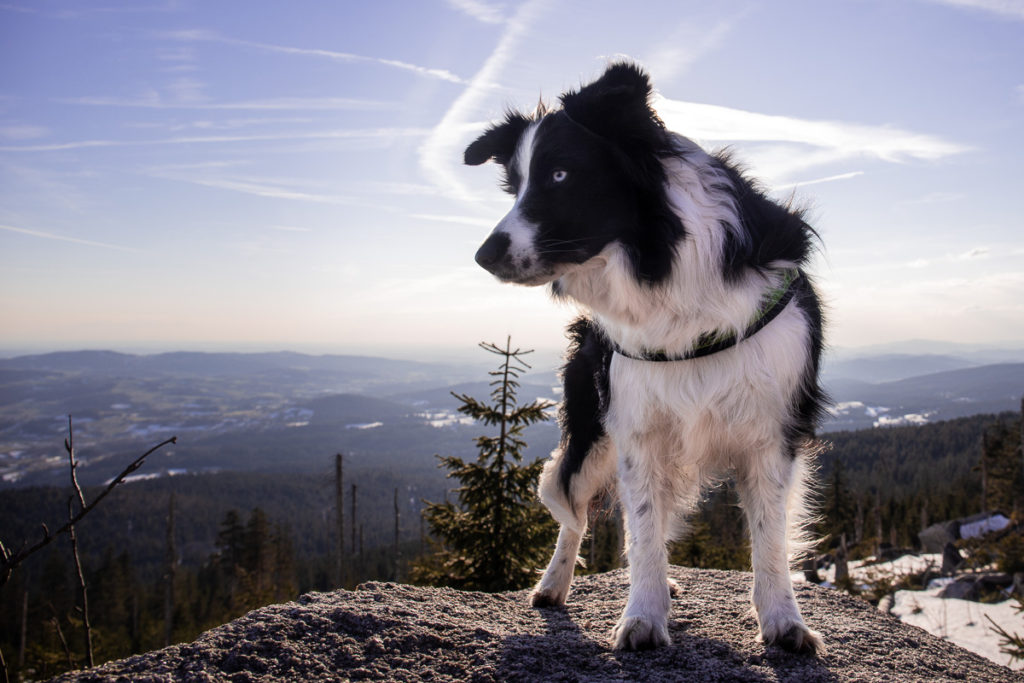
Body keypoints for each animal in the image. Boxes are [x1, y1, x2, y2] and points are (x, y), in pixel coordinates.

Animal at [468, 63, 827, 655]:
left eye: (560, 175)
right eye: (513, 187)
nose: (483, 255)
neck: (666, 272)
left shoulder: (774, 431)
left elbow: (769, 537)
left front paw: (782, 622)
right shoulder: (636, 426)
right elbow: (640, 527)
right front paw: (642, 616)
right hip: (592, 431)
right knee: (576, 513)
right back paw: (553, 585)